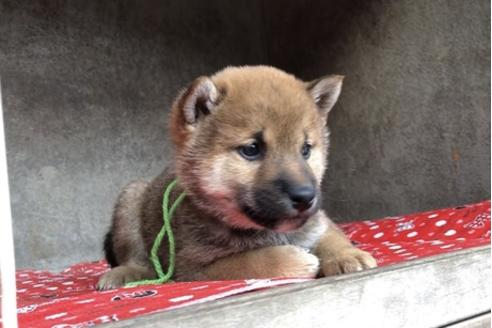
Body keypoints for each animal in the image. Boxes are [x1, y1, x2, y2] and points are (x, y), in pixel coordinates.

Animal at [96, 64, 376, 290]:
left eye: (305, 149)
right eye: (251, 149)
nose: (306, 196)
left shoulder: (318, 222)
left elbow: (332, 236)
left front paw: (347, 255)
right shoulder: (195, 267)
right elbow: (252, 260)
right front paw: (295, 259)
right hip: (130, 198)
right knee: (135, 255)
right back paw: (126, 273)